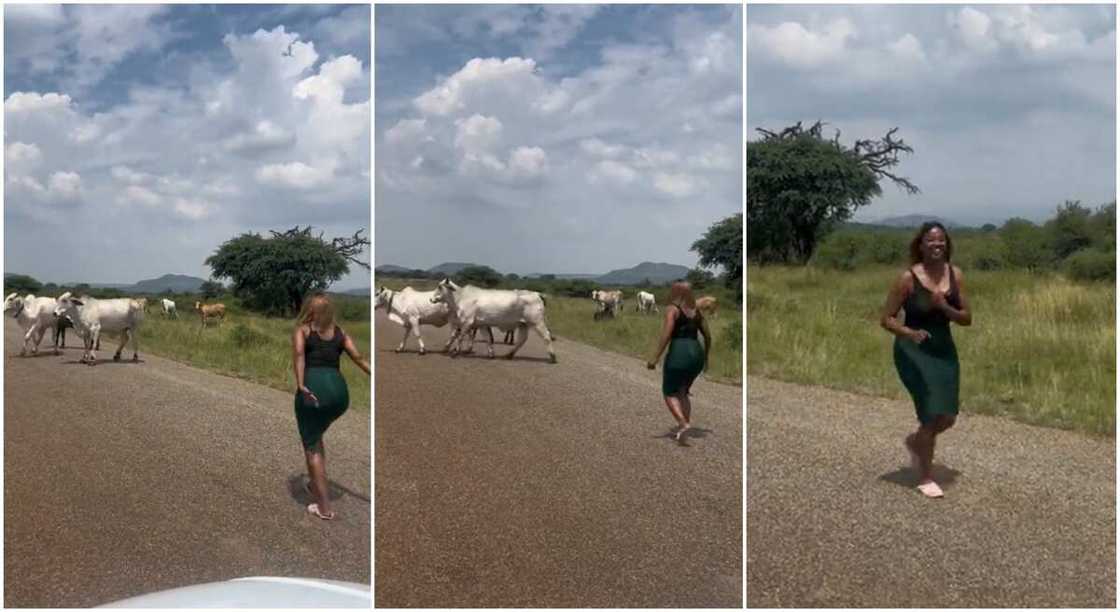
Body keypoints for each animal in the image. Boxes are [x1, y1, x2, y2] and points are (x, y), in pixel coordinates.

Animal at [427, 280, 555, 363]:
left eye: (440, 287)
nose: (431, 299)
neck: (460, 297)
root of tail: (537, 293)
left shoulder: (467, 322)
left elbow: (460, 337)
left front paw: (454, 352)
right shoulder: (482, 325)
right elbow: (488, 339)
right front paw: (491, 354)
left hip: (537, 322)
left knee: (546, 337)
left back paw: (552, 357)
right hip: (523, 324)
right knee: (521, 340)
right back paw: (509, 355)